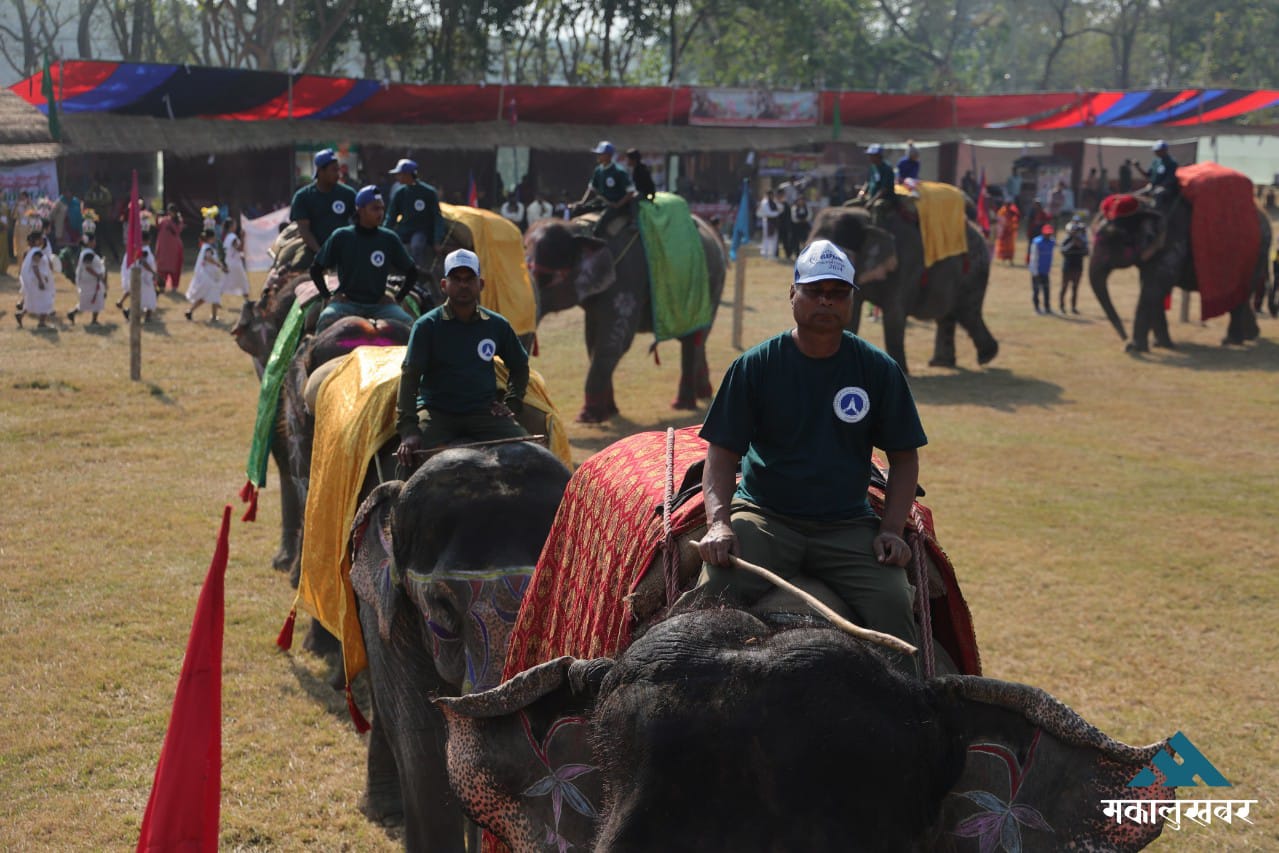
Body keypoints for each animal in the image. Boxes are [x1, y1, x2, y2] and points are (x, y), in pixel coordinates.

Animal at [521, 217, 726, 424]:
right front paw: (610, 412)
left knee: (693, 340)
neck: (585, 230)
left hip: (709, 287)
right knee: (700, 340)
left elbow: (614, 342)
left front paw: (588, 417)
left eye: (546, 278)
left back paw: (682, 405)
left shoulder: (626, 280)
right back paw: (704, 393)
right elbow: (593, 342)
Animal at [808, 204, 997, 375]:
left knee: (967, 313)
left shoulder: (903, 267)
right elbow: (852, 315)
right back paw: (942, 362)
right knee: (948, 316)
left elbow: (894, 316)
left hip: (973, 273)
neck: (868, 218)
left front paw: (902, 371)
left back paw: (985, 357)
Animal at [1089, 195, 1268, 352]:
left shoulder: (1172, 243)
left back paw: (1231, 341)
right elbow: (1152, 289)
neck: (1147, 204)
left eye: (1112, 238)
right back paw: (1251, 336)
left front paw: (1134, 348)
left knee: (1239, 297)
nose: (1124, 337)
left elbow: (1153, 288)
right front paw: (1161, 344)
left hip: (1252, 256)